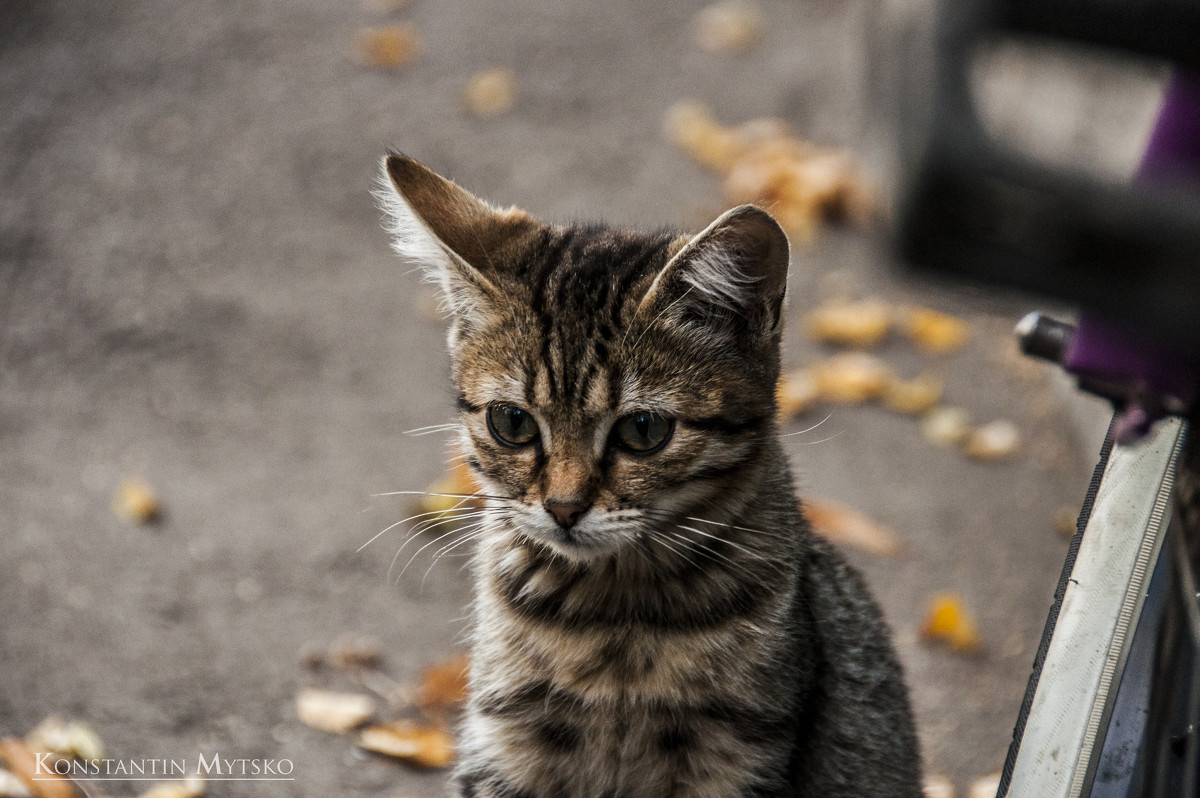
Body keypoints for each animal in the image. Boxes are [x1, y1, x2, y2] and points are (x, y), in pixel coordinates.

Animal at [379, 156, 921, 796]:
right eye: (512, 422)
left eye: (642, 430)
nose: (564, 508)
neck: (615, 619)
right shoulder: (504, 745)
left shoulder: (741, 756)